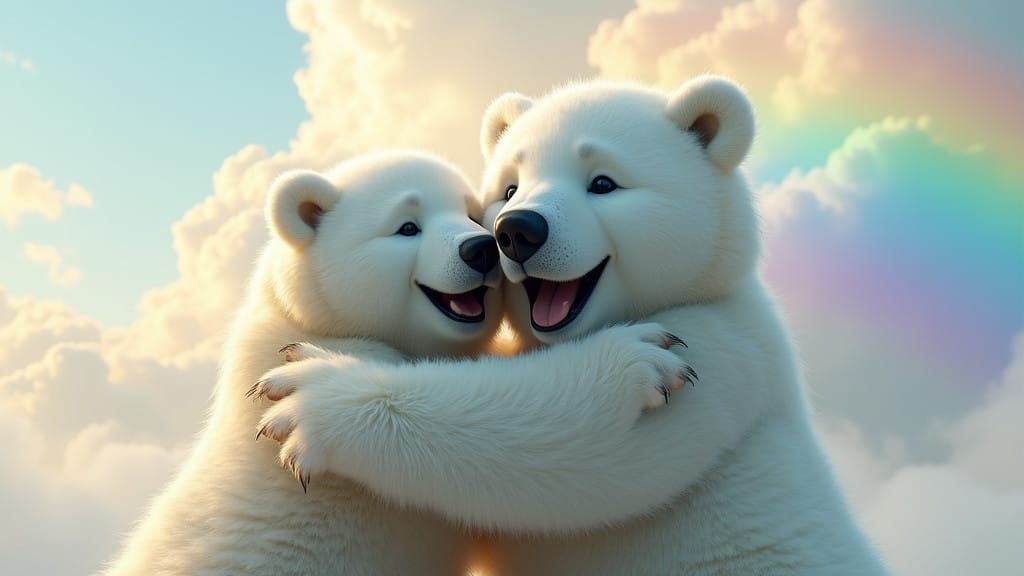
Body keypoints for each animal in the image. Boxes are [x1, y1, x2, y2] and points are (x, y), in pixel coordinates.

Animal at [254, 77, 889, 575]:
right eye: (510, 186)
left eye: (603, 182)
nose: (516, 231)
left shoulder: (724, 339)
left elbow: (584, 446)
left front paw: (309, 395)